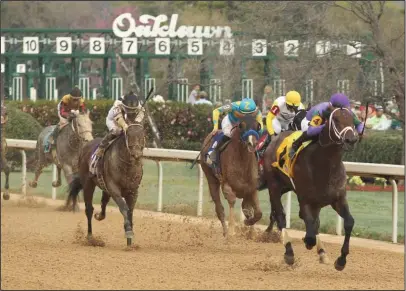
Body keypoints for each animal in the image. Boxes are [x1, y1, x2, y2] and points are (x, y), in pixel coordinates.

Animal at [264, 106, 360, 272]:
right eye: (336, 119)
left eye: (352, 118)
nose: (351, 140)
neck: (325, 164)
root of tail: (276, 137)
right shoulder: (305, 199)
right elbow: (309, 231)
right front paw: (307, 242)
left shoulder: (338, 198)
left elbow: (349, 222)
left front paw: (341, 260)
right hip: (274, 186)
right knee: (281, 217)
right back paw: (289, 253)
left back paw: (321, 252)